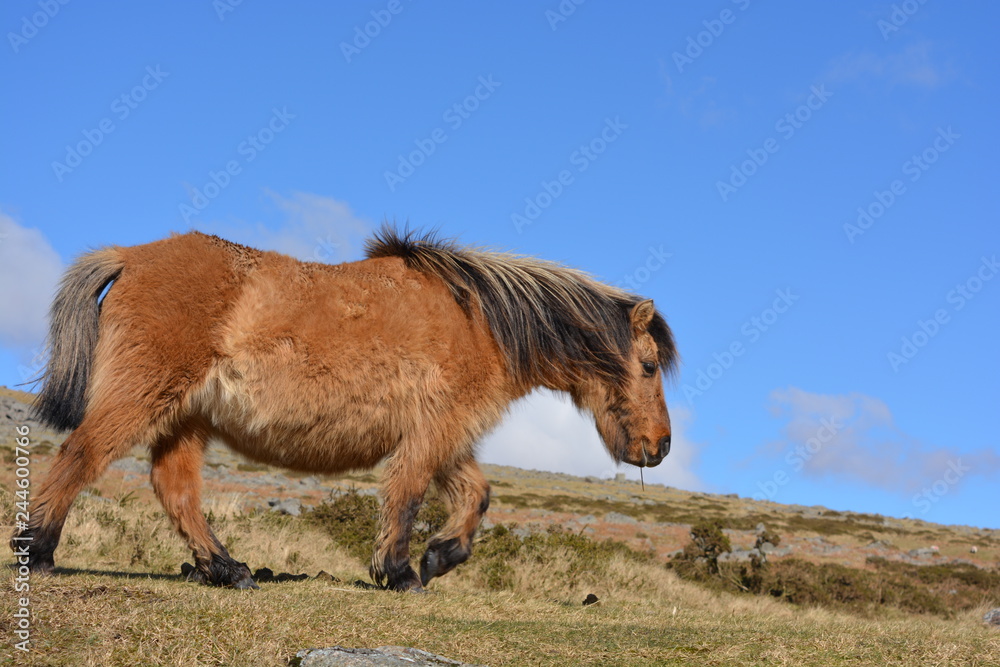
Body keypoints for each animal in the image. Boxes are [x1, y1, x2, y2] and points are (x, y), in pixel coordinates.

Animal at [11, 228, 676, 588]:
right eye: (648, 366)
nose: (662, 446)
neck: (480, 321)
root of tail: (131, 254)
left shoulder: (445, 437)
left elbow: (476, 496)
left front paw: (438, 558)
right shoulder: (433, 434)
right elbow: (407, 496)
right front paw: (401, 572)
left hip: (186, 419)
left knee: (175, 489)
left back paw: (228, 568)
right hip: (142, 395)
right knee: (82, 455)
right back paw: (36, 552)